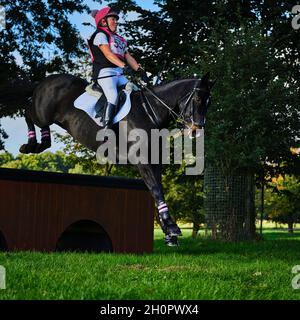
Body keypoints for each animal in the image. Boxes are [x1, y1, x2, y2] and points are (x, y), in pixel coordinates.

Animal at [4, 72, 216, 246]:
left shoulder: (154, 162)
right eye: (198, 98)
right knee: (27, 110)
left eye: (209, 103)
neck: (150, 112)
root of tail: (45, 80)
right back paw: (31, 145)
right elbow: (156, 189)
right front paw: (172, 228)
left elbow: (158, 190)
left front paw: (168, 232)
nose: (197, 129)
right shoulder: (141, 160)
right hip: (42, 112)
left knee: (36, 121)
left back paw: (40, 143)